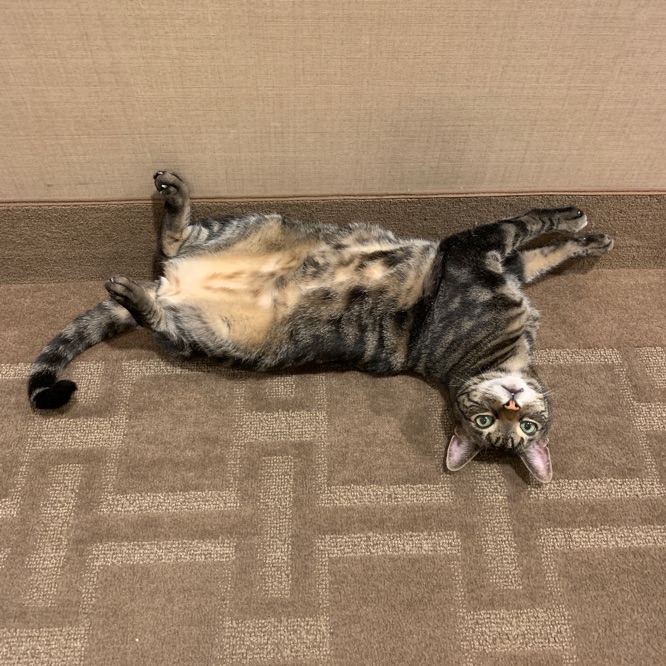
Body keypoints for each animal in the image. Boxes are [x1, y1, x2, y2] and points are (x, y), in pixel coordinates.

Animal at [27, 171, 612, 482]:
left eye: (523, 431)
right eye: (488, 422)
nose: (510, 407)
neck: (502, 352)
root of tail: (169, 285)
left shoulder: (491, 263)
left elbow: (537, 251)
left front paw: (586, 239)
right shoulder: (479, 250)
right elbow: (535, 230)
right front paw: (582, 226)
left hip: (204, 335)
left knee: (163, 295)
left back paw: (132, 290)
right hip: (251, 224)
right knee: (174, 239)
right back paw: (168, 207)